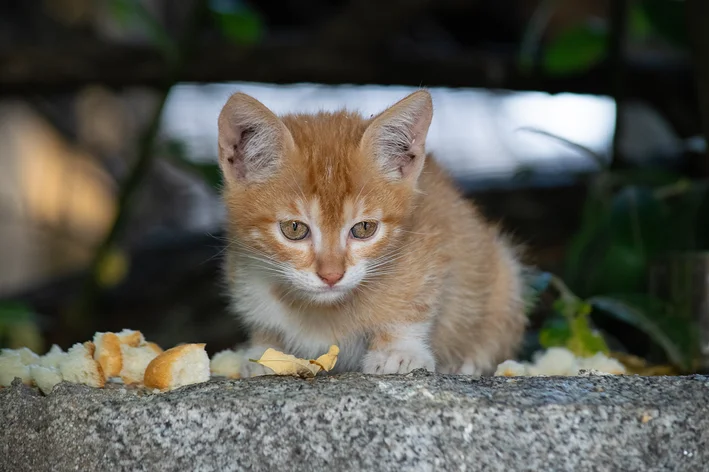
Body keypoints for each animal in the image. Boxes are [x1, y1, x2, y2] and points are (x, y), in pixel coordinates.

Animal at [216, 88, 524, 376]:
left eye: (364, 228)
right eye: (294, 229)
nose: (331, 276)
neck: (323, 310)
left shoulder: (433, 244)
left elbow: (417, 303)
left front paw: (398, 350)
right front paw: (265, 354)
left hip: (505, 273)